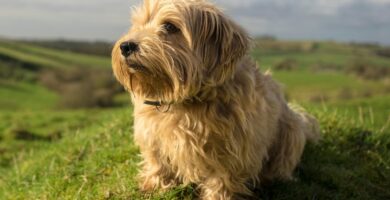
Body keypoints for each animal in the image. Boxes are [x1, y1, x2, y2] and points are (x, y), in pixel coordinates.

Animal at [110, 0, 320, 199]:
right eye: (138, 24)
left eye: (169, 26)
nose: (126, 46)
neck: (187, 101)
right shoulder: (152, 136)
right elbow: (157, 162)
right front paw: (155, 187)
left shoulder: (231, 150)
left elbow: (222, 179)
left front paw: (218, 196)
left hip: (291, 130)